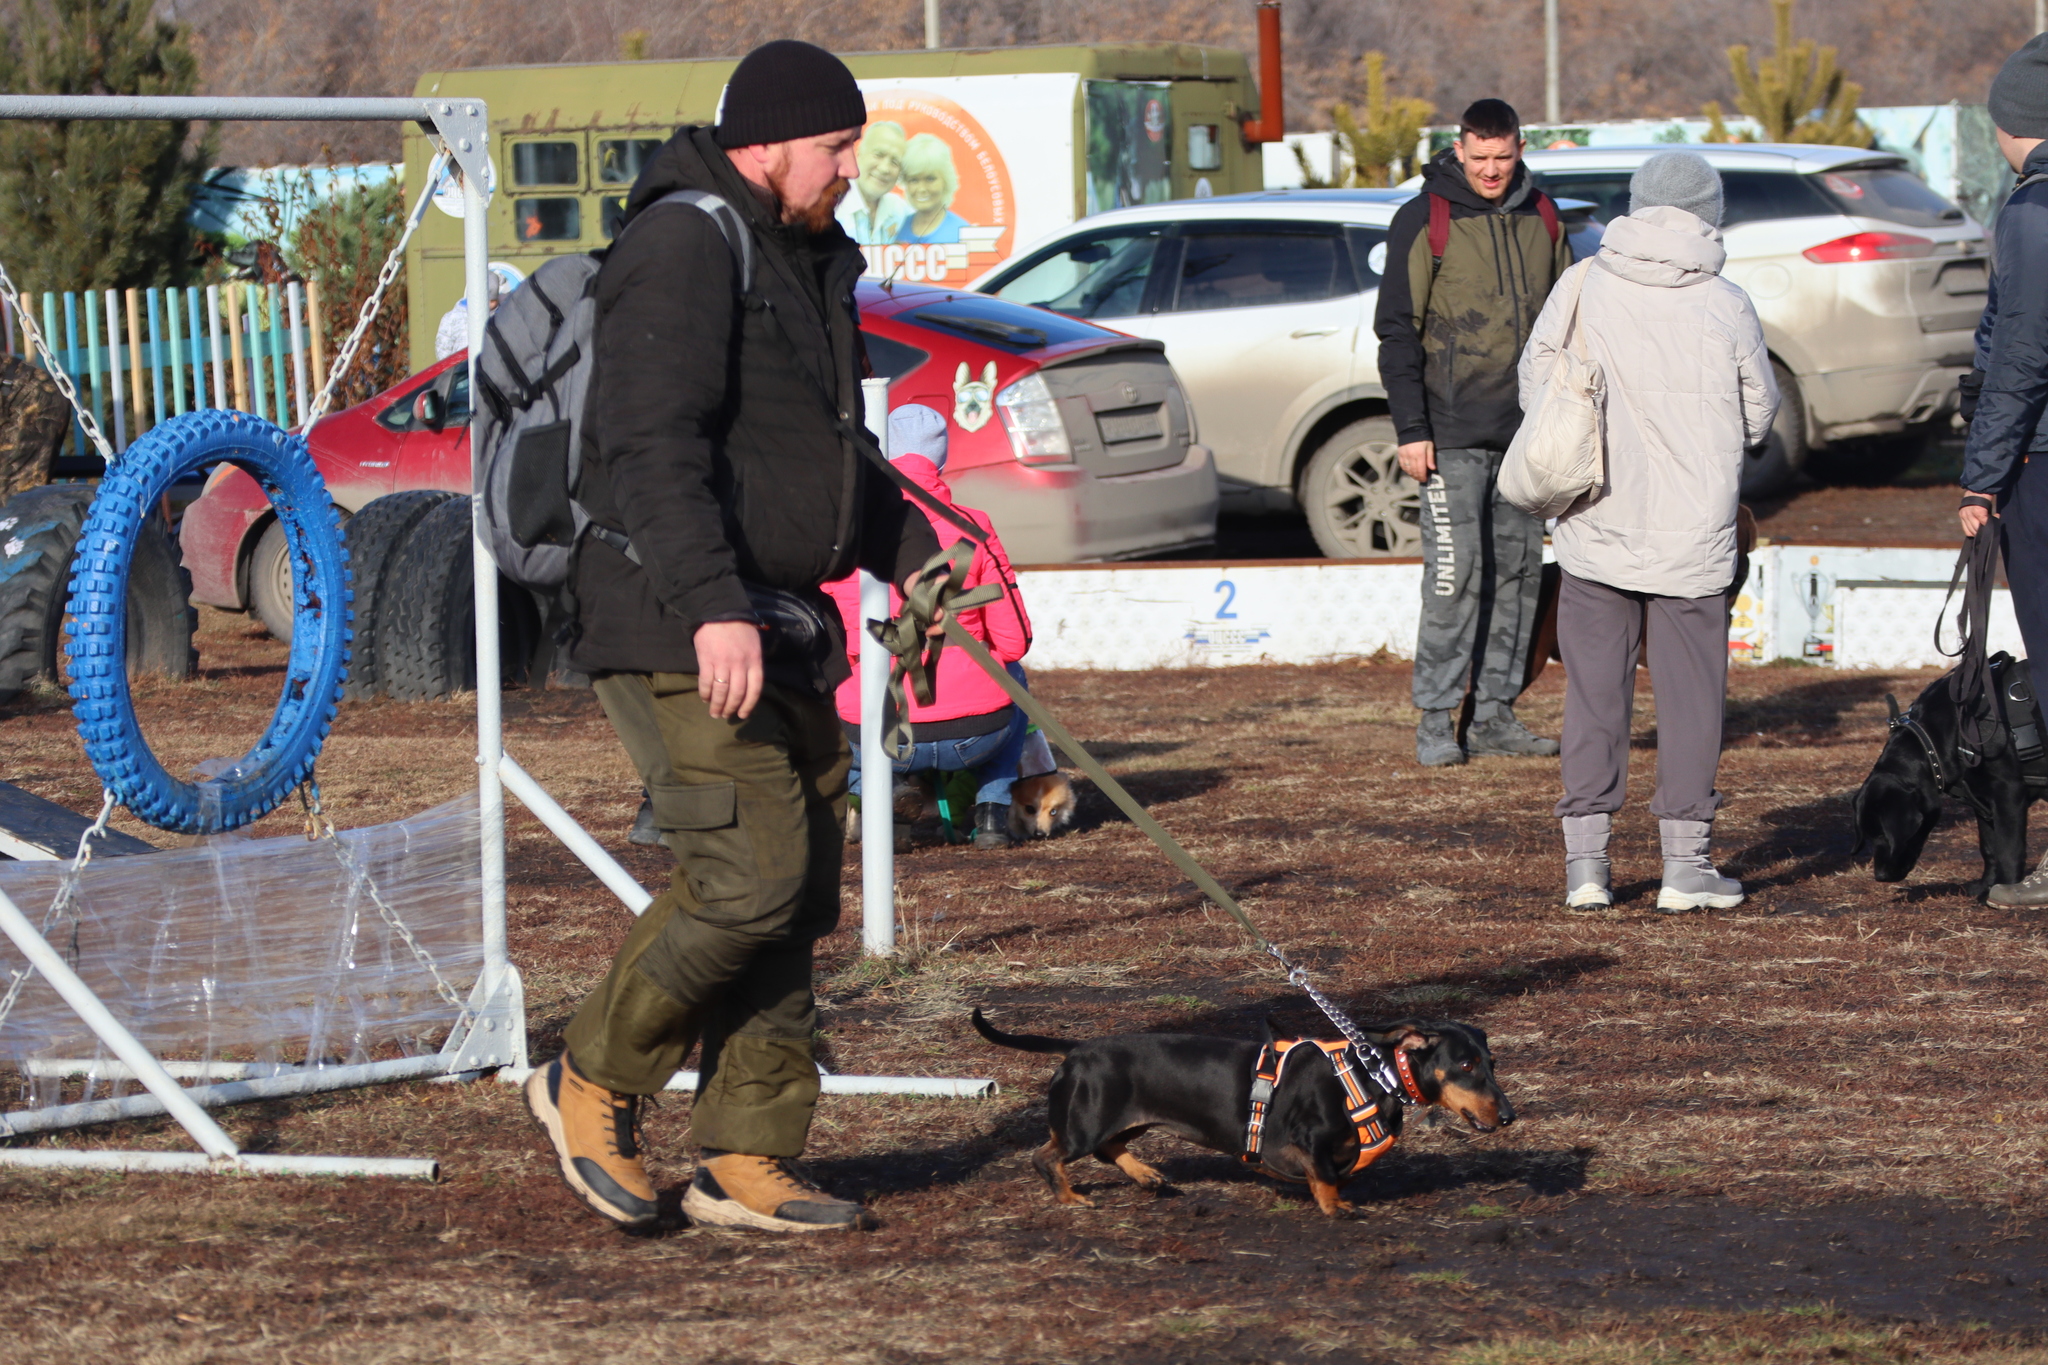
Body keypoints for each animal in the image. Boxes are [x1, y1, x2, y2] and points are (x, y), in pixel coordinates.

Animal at [1851, 671, 2039, 900]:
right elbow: (1989, 848)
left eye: (1882, 834)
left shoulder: (2008, 794)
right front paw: (1985, 886)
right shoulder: (1983, 803)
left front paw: (2005, 888)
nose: (1880, 876)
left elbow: (2008, 851)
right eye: (1869, 836)